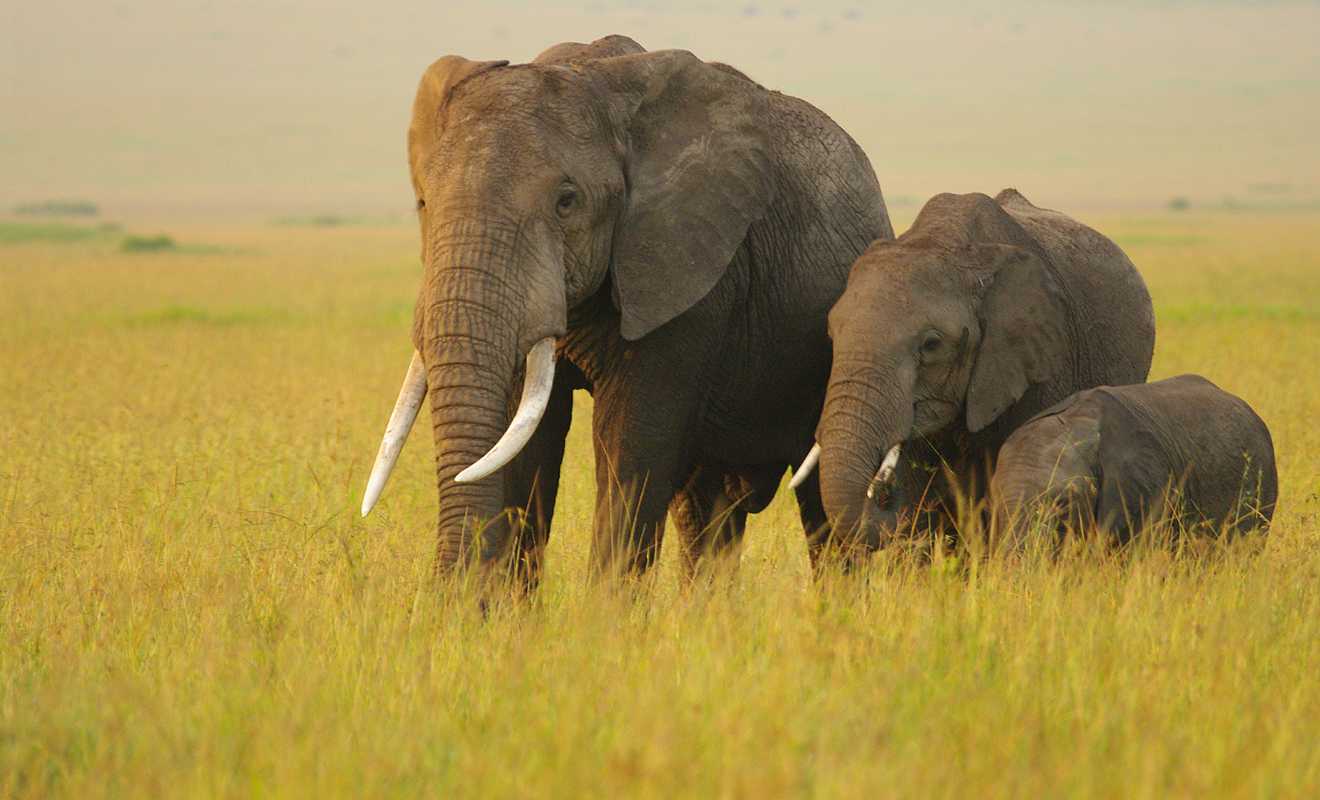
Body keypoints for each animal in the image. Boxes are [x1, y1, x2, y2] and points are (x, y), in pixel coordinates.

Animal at [360, 35, 892, 587]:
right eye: (423, 202)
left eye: (566, 201)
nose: (452, 595)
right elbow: (520, 444)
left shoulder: (689, 274)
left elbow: (629, 448)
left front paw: (601, 614)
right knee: (705, 510)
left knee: (822, 508)